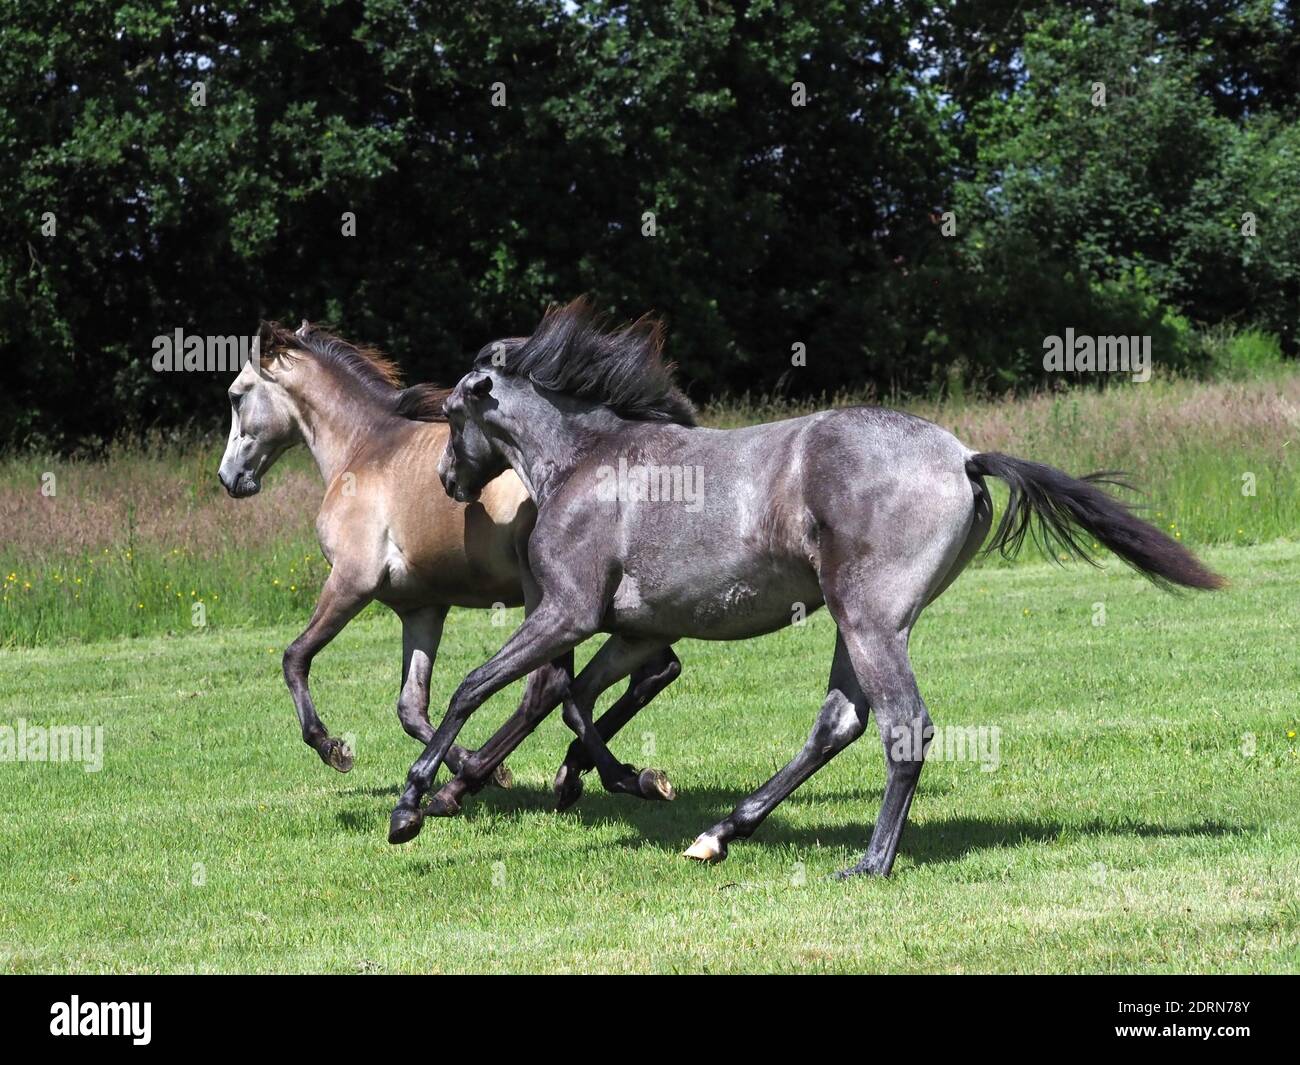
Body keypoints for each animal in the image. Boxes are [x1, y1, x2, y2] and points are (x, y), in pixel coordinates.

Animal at [215, 321, 681, 806]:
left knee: (549, 689)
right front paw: (479, 768)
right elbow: (410, 708)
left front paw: (332, 747)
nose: (229, 478)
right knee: (648, 671)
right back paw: (598, 773)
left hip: (555, 601)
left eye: (236, 395)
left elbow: (295, 657)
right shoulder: (421, 610)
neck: (364, 448)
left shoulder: (351, 582)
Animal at [390, 301, 1222, 884]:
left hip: (868, 617)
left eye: (454, 412)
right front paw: (620, 779)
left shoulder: (566, 613)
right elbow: (574, 701)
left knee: (901, 726)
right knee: (838, 723)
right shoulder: (631, 630)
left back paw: (869, 863)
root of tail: (961, 457)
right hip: (863, 622)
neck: (589, 460)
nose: (448, 480)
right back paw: (720, 834)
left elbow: (475, 687)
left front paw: (413, 806)